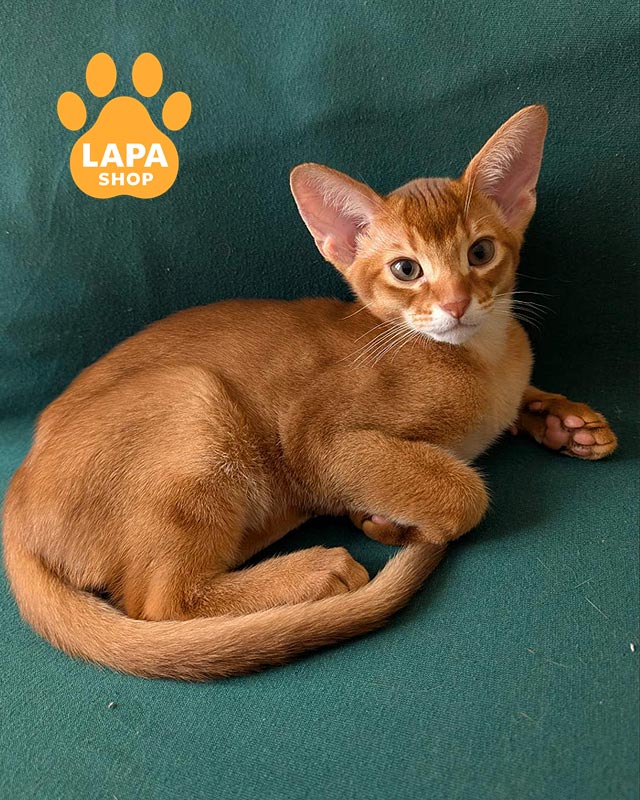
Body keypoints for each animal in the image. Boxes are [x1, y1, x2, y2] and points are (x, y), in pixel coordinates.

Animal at [2, 105, 617, 679]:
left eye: (481, 253)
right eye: (406, 269)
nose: (456, 303)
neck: (485, 360)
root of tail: (15, 500)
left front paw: (563, 420)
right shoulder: (315, 438)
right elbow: (464, 493)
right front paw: (394, 520)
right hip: (195, 395)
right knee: (159, 600)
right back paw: (315, 571)